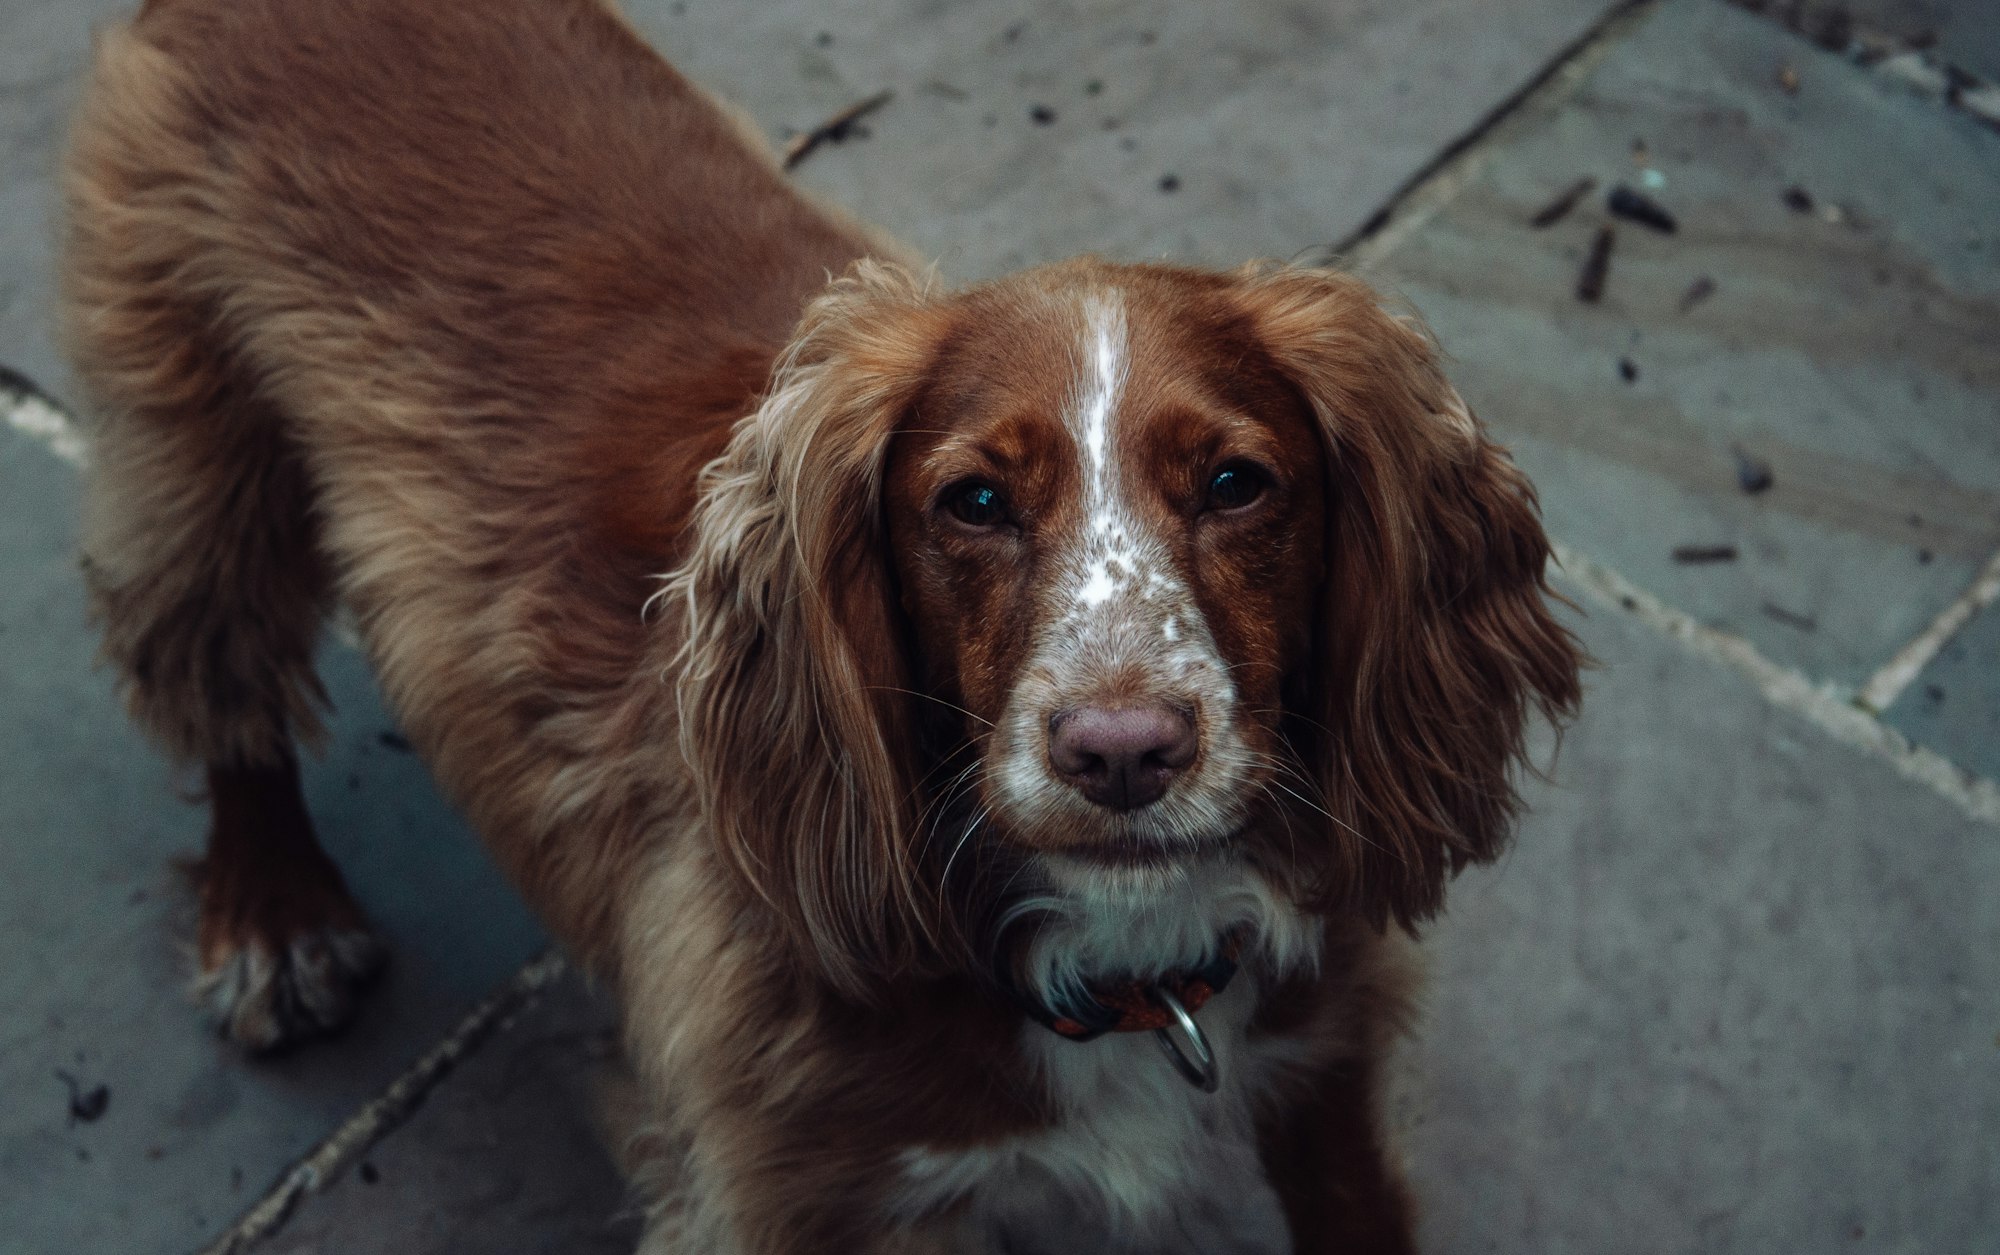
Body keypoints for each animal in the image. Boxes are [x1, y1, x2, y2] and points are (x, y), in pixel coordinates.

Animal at [62, 2, 1584, 1247]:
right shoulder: (795, 1187)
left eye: (1234, 483)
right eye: (973, 500)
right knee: (211, 664)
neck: (1113, 954)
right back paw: (274, 913)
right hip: (192, 435)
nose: (1121, 751)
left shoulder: (1328, 1059)